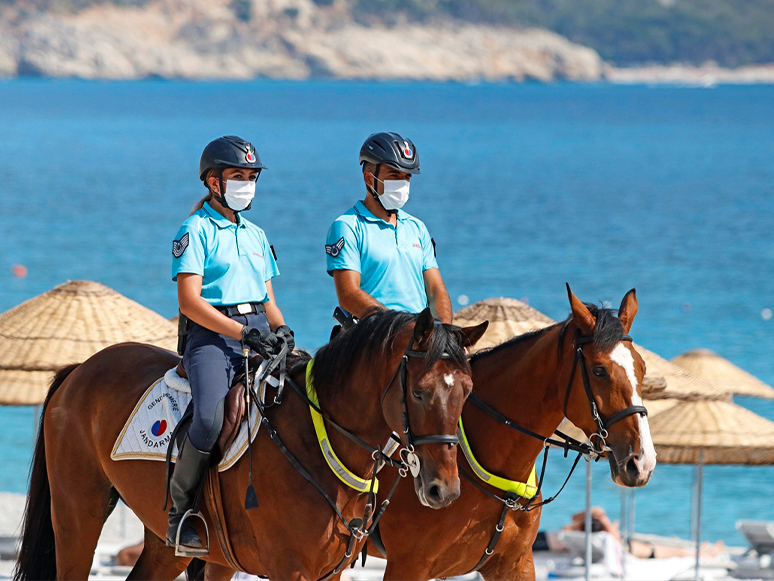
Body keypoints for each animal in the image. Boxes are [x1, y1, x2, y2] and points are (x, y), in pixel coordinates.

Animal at [13, 310, 484, 576]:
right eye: (419, 393)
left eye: (466, 391)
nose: (444, 490)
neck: (320, 443)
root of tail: (79, 369)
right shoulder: (290, 570)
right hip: (77, 515)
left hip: (168, 542)